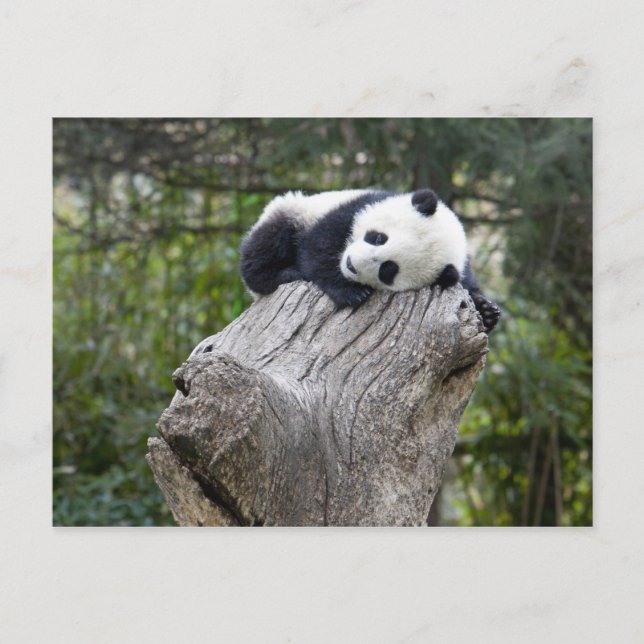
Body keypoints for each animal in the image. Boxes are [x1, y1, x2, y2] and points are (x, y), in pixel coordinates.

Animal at [239, 188, 500, 333]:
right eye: (378, 237)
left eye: (388, 270)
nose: (351, 264)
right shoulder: (355, 207)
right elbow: (318, 246)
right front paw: (350, 292)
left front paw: (487, 311)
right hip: (296, 208)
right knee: (268, 242)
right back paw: (283, 274)